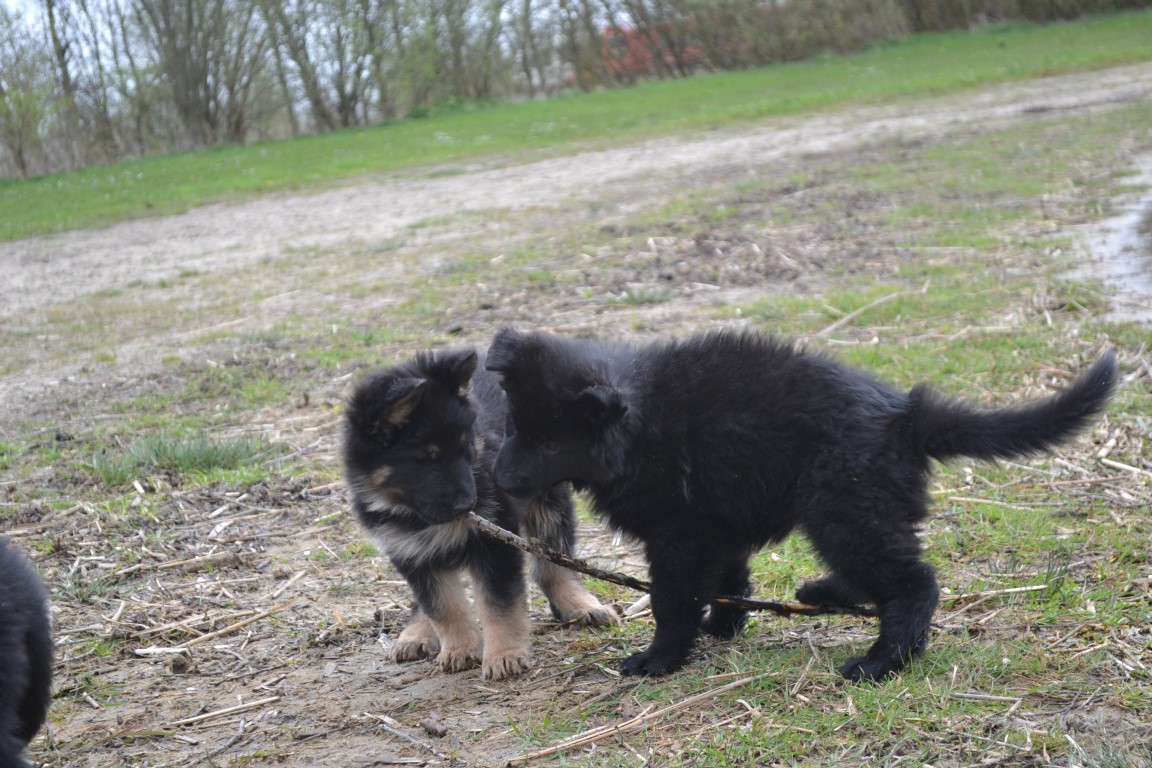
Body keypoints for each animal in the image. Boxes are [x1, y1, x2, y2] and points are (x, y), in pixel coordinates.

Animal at [342, 346, 617, 680]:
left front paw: (504, 655)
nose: (467, 505)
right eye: (427, 459)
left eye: (467, 450)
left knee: (553, 562)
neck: (416, 516)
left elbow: (498, 605)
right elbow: (442, 607)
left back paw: (580, 604)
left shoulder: (495, 542)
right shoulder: (410, 551)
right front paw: (459, 649)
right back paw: (417, 633)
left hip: (548, 499)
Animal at [485, 328, 1117, 681]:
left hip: (844, 510)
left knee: (913, 583)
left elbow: (671, 600)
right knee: (884, 572)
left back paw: (882, 662)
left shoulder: (678, 533)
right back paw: (823, 594)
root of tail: (905, 415)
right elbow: (729, 577)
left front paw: (660, 659)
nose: (496, 478)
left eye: (551, 442)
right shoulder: (716, 521)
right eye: (515, 426)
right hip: (857, 512)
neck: (635, 426)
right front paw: (724, 627)